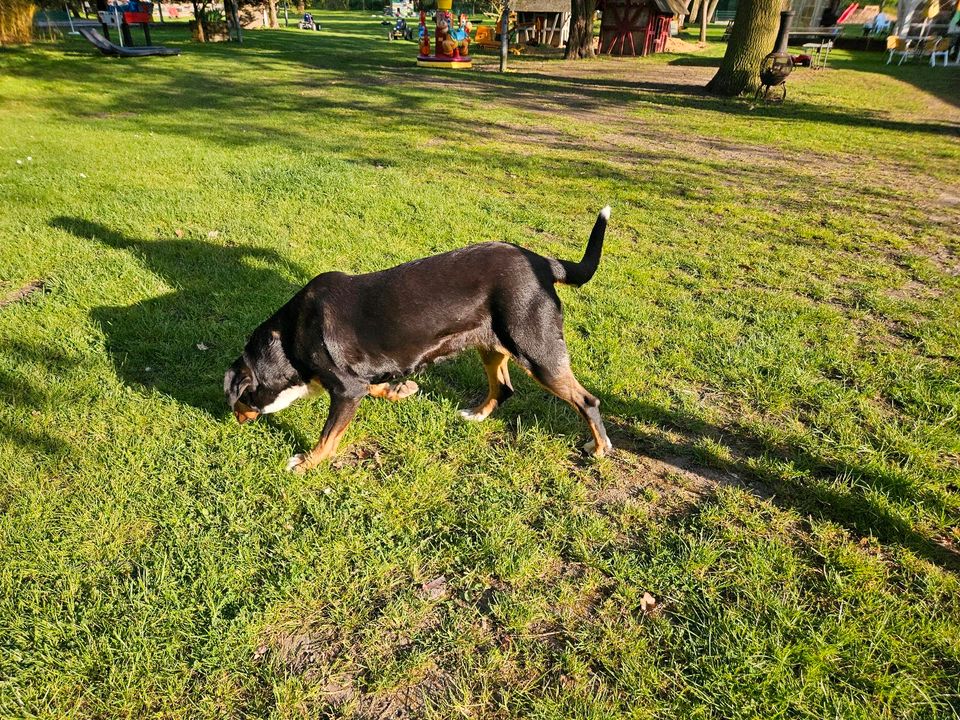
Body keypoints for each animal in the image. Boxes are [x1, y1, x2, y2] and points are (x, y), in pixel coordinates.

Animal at [225, 205, 612, 472]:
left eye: (239, 399)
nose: (234, 420)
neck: (288, 341)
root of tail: (542, 261)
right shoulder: (359, 382)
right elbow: (378, 387)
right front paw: (401, 390)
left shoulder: (346, 389)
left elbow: (327, 438)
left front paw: (306, 463)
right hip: (491, 344)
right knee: (503, 388)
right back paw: (476, 415)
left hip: (537, 351)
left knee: (587, 400)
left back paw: (598, 448)